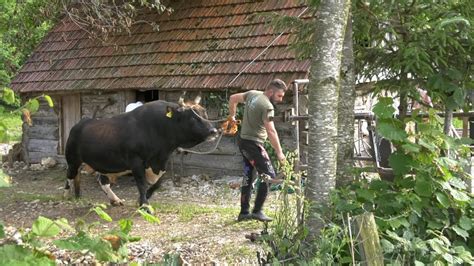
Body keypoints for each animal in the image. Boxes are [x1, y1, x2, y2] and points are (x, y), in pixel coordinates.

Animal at [63, 98, 218, 207]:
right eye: (192, 118)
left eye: (205, 113)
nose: (214, 131)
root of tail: (80, 123)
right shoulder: (136, 162)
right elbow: (141, 184)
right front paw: (145, 205)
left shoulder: (161, 162)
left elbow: (158, 184)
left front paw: (142, 200)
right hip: (73, 160)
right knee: (70, 176)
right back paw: (67, 195)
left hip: (102, 163)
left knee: (103, 181)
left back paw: (114, 200)